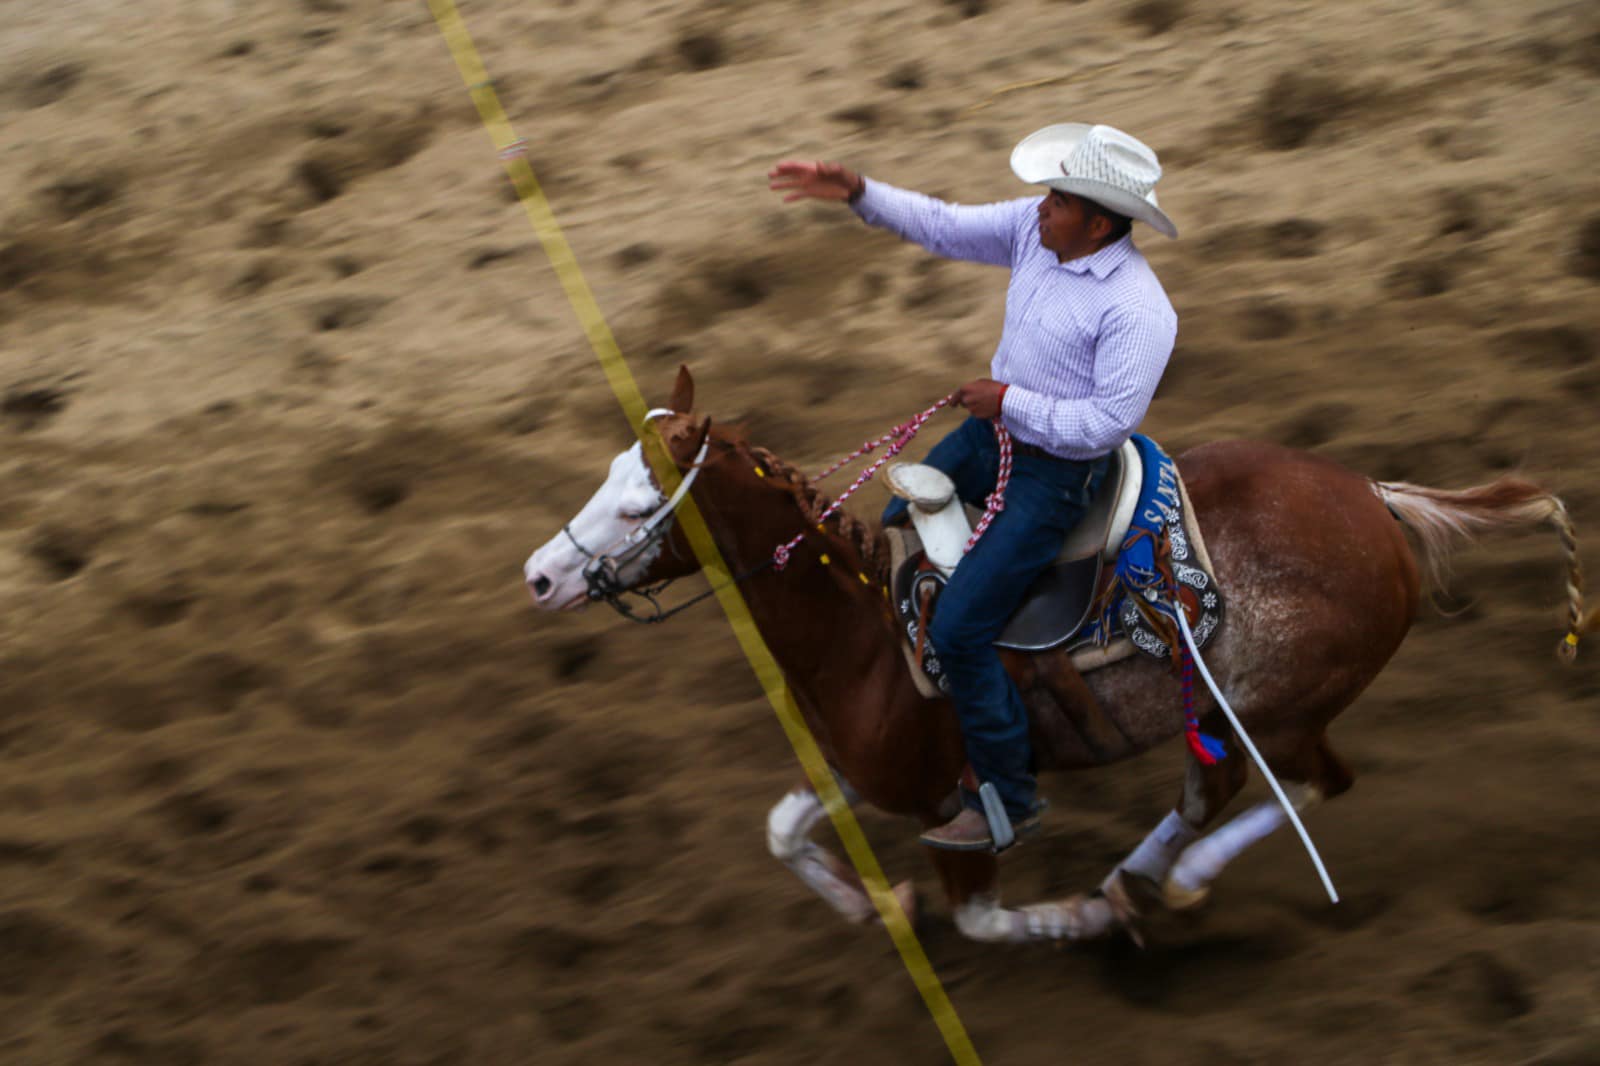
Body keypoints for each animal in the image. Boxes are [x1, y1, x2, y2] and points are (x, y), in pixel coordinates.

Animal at [524, 369, 1587, 941]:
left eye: (637, 506)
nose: (538, 576)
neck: (863, 637)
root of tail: (1375, 499)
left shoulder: (956, 806)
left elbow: (983, 916)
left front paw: (1076, 920)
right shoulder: (881, 774)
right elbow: (784, 830)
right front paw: (877, 905)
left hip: (1286, 710)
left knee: (1312, 783)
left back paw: (1170, 886)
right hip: (1225, 713)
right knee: (1210, 790)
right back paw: (1141, 878)